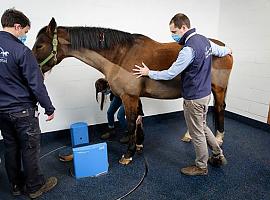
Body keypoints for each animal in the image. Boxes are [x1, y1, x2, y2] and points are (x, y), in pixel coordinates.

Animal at [32, 17, 233, 164]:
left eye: (40, 45)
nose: (33, 69)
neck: (121, 55)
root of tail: (224, 48)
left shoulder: (129, 97)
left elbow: (130, 123)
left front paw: (128, 154)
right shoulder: (135, 97)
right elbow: (138, 121)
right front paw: (138, 145)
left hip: (218, 89)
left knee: (220, 109)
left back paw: (219, 140)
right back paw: (189, 136)